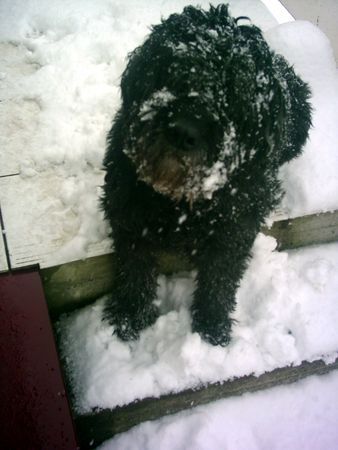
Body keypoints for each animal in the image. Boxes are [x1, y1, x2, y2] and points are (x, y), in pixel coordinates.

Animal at [101, 5, 312, 346]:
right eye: (176, 68)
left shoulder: (236, 225)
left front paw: (212, 325)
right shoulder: (126, 207)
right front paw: (130, 314)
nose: (183, 131)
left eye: (236, 95)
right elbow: (133, 263)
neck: (180, 201)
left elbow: (220, 275)